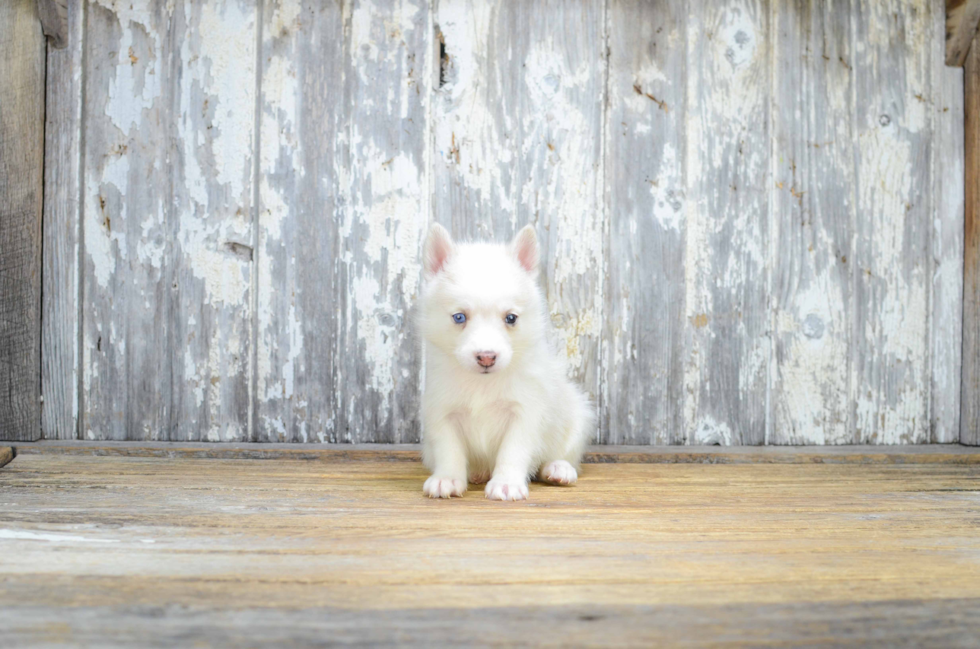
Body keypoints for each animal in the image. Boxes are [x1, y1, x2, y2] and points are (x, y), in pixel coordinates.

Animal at [418, 223, 592, 502]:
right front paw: (447, 478)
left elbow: (513, 452)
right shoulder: (442, 412)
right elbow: (449, 450)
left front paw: (506, 483)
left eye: (511, 318)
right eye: (459, 317)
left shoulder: (525, 413)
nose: (486, 357)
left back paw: (558, 468)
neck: (482, 384)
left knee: (563, 455)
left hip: (576, 417)